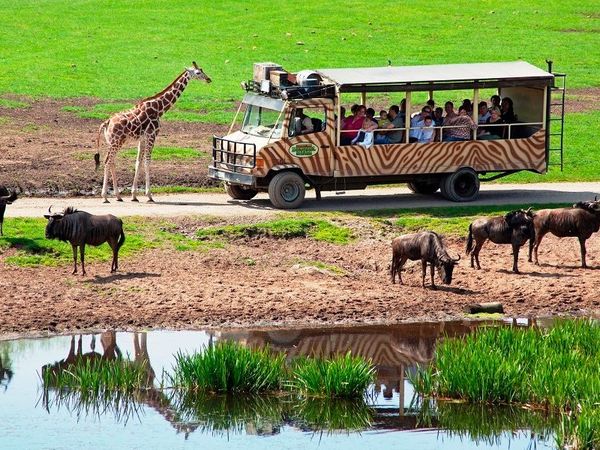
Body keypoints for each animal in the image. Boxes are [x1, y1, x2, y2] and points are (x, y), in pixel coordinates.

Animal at [95, 62, 212, 203]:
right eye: (198, 72)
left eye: (202, 70)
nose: (209, 79)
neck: (159, 109)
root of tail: (106, 122)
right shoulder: (152, 135)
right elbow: (147, 162)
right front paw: (149, 195)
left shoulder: (142, 138)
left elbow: (138, 162)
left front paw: (134, 195)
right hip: (117, 141)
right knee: (107, 161)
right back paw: (105, 197)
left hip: (113, 142)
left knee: (112, 161)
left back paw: (118, 196)